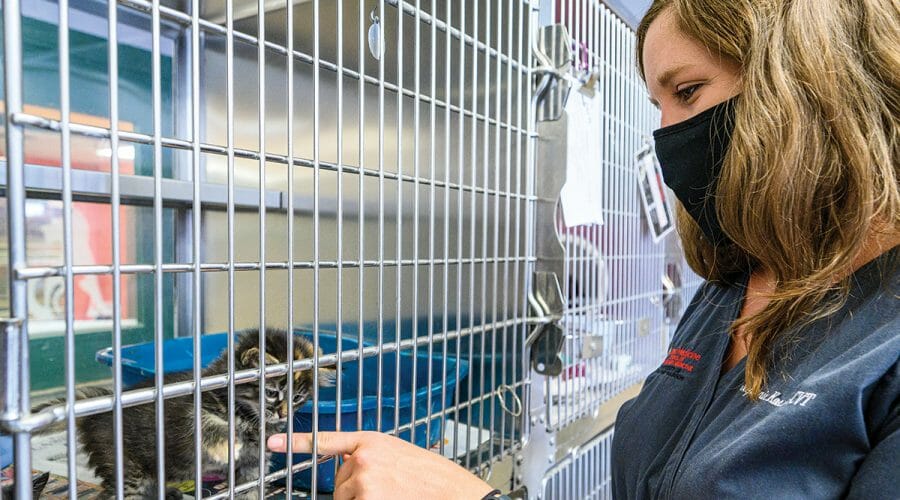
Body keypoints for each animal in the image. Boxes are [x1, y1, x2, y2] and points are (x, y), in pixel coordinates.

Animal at [32, 328, 334, 500]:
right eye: (272, 393)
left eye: (297, 398)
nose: (283, 415)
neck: (249, 417)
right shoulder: (190, 411)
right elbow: (203, 423)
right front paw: (226, 442)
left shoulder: (253, 465)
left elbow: (249, 488)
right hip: (126, 465)